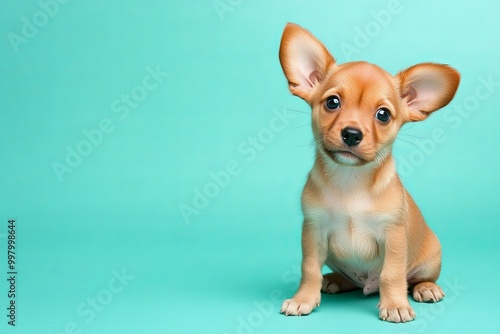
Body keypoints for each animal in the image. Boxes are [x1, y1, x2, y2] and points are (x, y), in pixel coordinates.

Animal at [280, 22, 458, 322]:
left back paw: (426, 288)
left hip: (430, 258)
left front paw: (395, 304)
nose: (352, 134)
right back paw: (335, 280)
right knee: (344, 278)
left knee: (414, 279)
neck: (350, 179)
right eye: (332, 102)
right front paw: (303, 298)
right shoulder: (314, 231)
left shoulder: (393, 237)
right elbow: (310, 270)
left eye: (383, 115)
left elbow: (392, 275)